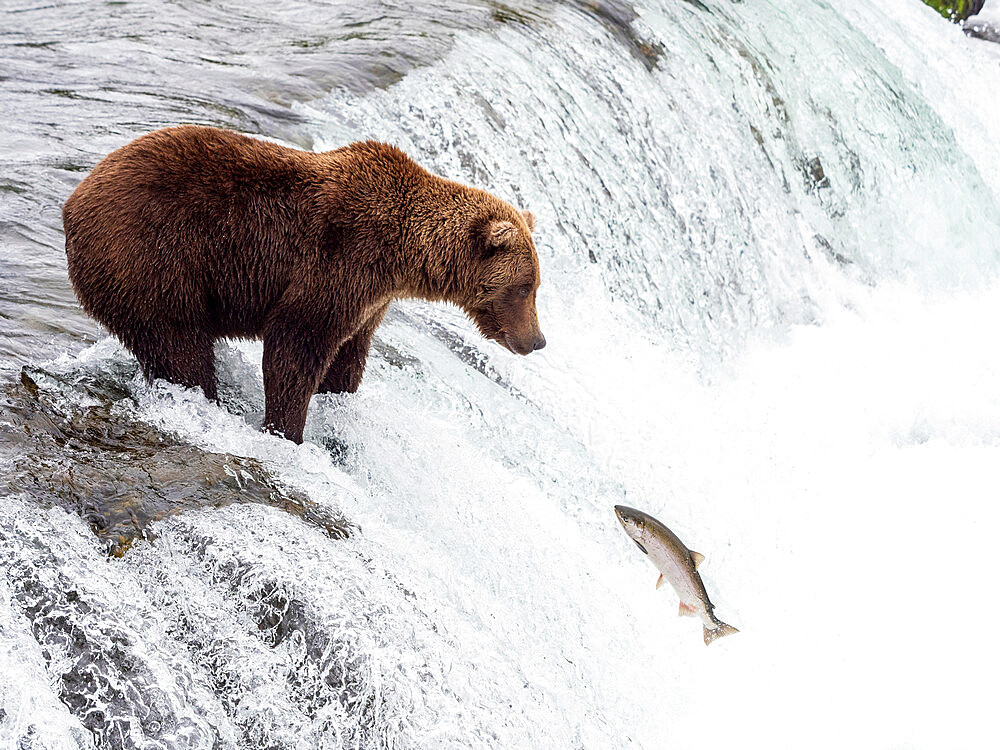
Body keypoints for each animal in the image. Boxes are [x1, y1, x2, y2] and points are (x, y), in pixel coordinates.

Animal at [62, 126, 548, 444]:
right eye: (526, 286)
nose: (538, 340)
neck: (403, 253)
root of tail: (73, 201)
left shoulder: (370, 299)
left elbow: (348, 355)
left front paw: (336, 400)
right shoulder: (339, 260)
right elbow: (295, 347)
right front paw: (287, 430)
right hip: (152, 259)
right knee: (180, 346)